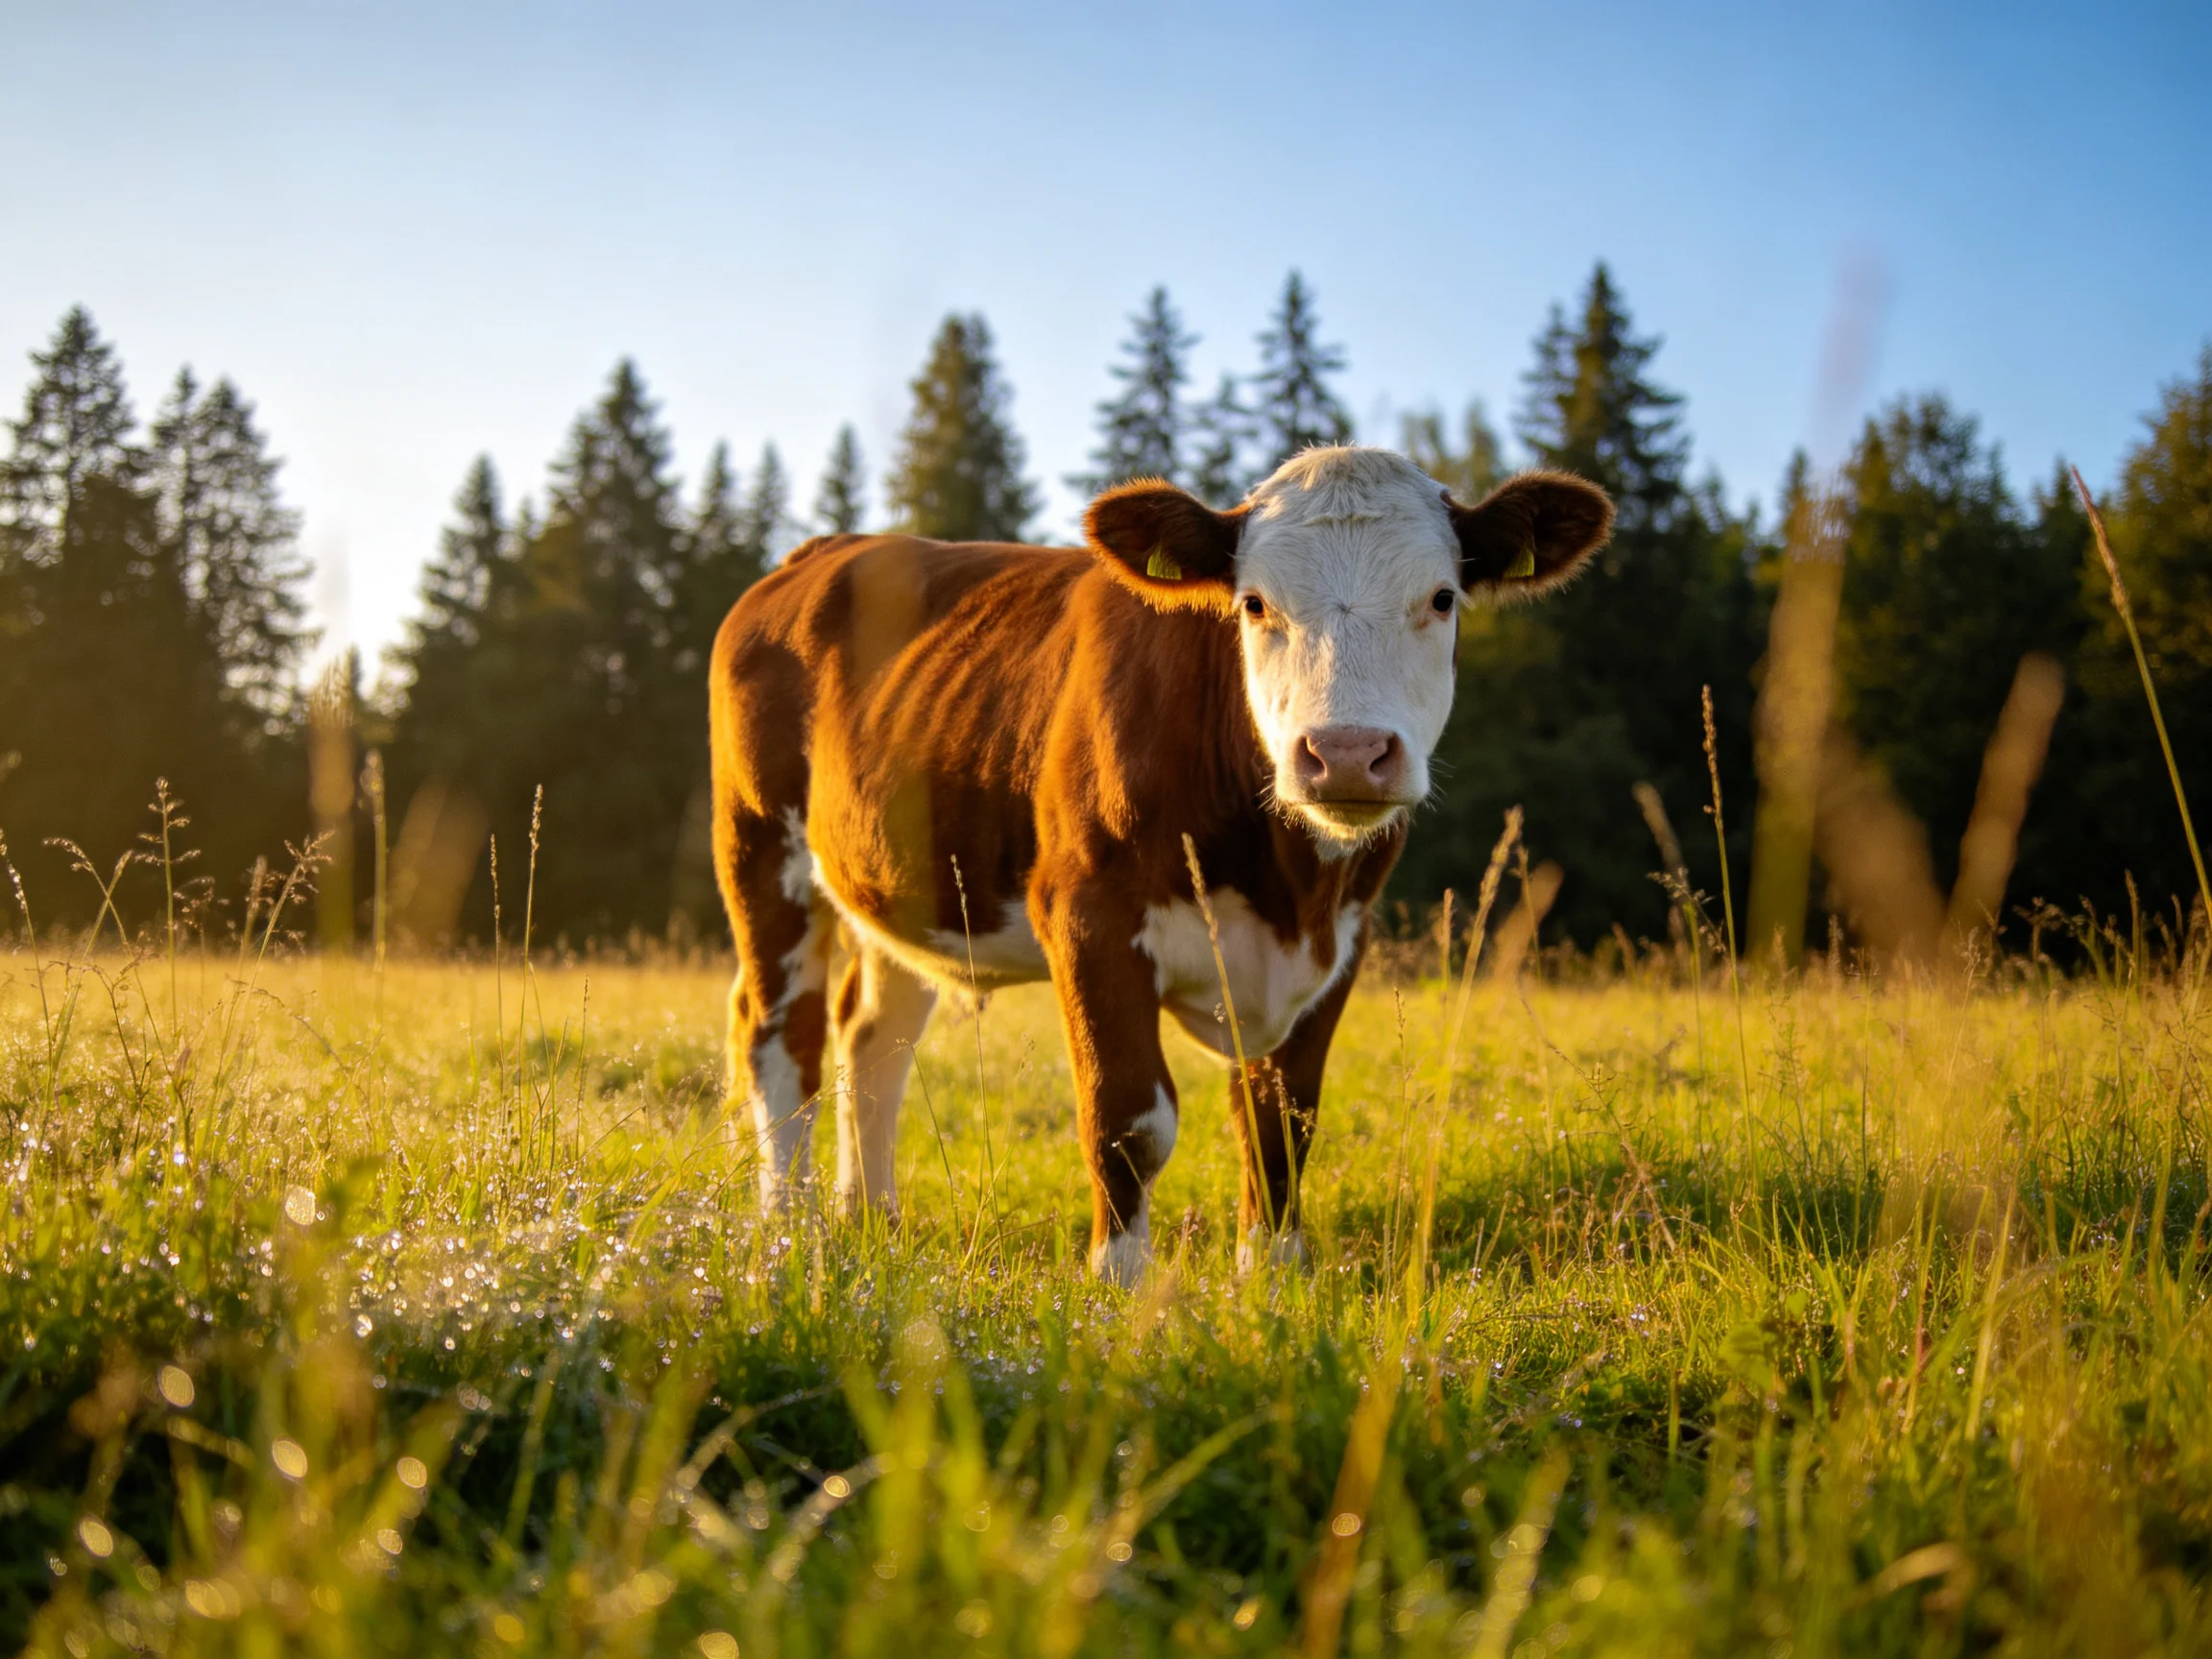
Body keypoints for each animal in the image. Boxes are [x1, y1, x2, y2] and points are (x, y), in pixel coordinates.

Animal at [708, 445, 1612, 1282]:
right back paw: (791, 1232)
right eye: (1254, 603)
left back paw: (871, 1218)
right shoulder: (1089, 917)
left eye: (1442, 597)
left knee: (873, 1035)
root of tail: (826, 549)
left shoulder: (1344, 938)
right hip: (759, 848)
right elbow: (1129, 1117)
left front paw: (1270, 1276)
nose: (1347, 754)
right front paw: (1120, 1279)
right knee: (781, 1037)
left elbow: (1281, 1119)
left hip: (902, 888)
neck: (1287, 885)